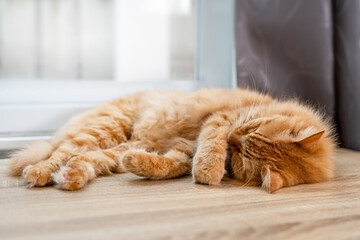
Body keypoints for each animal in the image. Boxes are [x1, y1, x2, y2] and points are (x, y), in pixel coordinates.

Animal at [7, 88, 334, 193]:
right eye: (249, 129)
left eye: (244, 155)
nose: (233, 138)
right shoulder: (219, 120)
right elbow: (210, 147)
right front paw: (209, 172)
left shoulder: (181, 151)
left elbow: (165, 166)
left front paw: (138, 163)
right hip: (104, 130)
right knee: (59, 153)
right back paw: (38, 173)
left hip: (111, 145)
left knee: (86, 160)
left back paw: (71, 176)